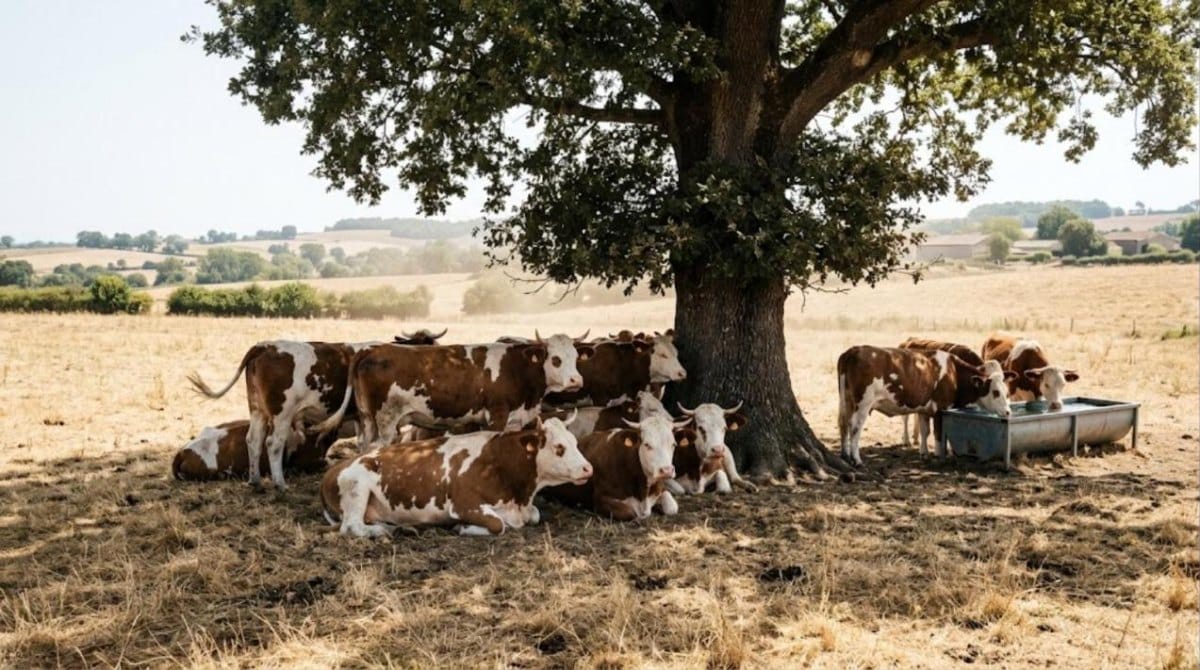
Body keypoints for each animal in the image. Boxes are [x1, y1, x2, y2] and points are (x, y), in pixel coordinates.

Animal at [314, 332, 591, 449]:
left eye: (575, 356)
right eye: (555, 359)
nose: (576, 380)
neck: (517, 369)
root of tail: (372, 349)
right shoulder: (496, 415)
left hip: (367, 418)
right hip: (386, 420)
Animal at [319, 417, 591, 537]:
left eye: (575, 441)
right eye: (559, 447)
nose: (588, 468)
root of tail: (334, 468)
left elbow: (534, 515)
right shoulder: (463, 504)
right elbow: (498, 524)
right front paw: (463, 527)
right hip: (356, 487)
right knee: (351, 526)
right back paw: (380, 531)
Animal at [542, 414, 694, 521]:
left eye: (673, 444)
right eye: (647, 444)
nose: (666, 470)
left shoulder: (660, 489)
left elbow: (673, 508)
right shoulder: (601, 499)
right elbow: (630, 513)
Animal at [837, 346, 1015, 466]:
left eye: (1007, 392)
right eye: (996, 392)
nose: (1008, 412)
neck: (953, 372)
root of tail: (853, 351)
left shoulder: (924, 409)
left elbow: (924, 431)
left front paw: (924, 453)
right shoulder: (941, 409)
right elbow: (938, 433)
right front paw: (939, 456)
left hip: (845, 401)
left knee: (843, 424)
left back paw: (845, 455)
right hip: (862, 404)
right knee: (855, 428)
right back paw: (856, 459)